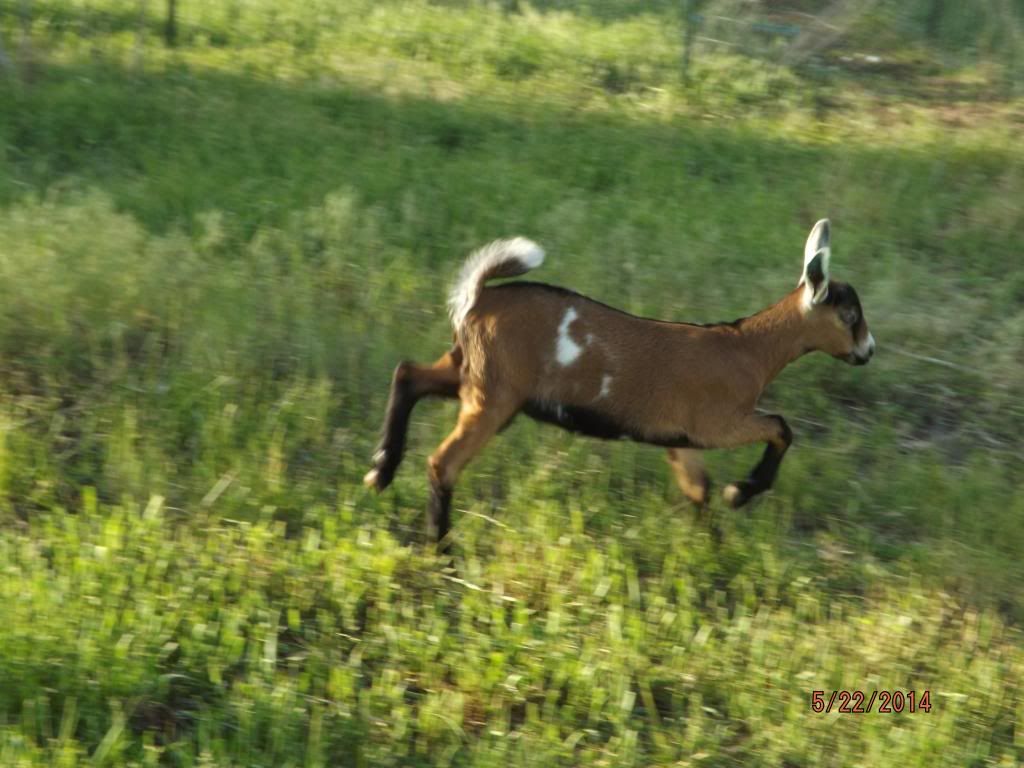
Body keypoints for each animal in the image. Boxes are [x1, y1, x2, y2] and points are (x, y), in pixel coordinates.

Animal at [364, 220, 874, 549]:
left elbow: (698, 490)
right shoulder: (719, 423)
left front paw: (713, 548)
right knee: (442, 462)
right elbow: (781, 428)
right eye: (850, 316)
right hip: (493, 396)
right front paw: (740, 493)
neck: (747, 347)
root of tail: (478, 300)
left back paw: (381, 471)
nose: (868, 351)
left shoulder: (679, 440)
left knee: (408, 374)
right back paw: (442, 548)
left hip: (471, 374)